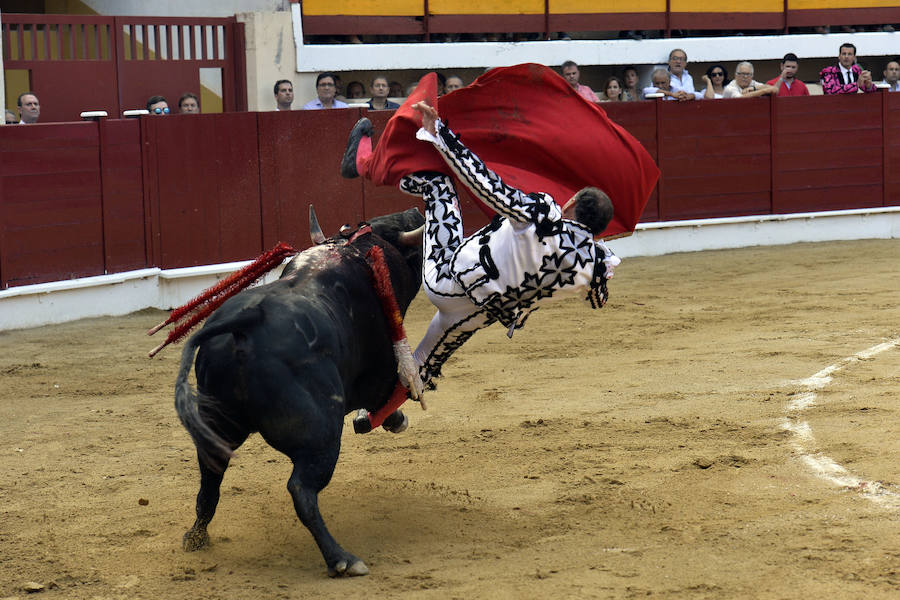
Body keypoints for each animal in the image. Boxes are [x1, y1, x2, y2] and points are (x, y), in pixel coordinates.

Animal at [177, 207, 428, 576]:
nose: (415, 210)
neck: (354, 252)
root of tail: (243, 327)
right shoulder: (379, 372)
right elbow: (383, 396)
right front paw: (393, 419)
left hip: (217, 427)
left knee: (210, 480)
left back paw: (196, 537)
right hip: (321, 435)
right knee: (302, 489)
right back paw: (342, 559)